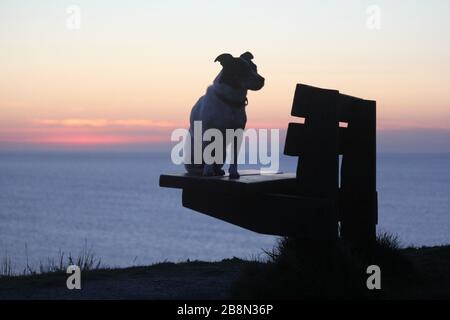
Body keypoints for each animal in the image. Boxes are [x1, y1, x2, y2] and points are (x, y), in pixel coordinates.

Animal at [185, 51, 266, 179]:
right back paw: (203, 171)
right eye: (242, 70)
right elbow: (208, 155)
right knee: (194, 167)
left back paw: (217, 171)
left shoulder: (237, 135)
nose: (262, 79)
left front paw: (233, 172)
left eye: (255, 68)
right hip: (194, 155)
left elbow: (234, 157)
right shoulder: (209, 133)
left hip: (222, 153)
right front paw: (208, 172)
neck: (230, 101)